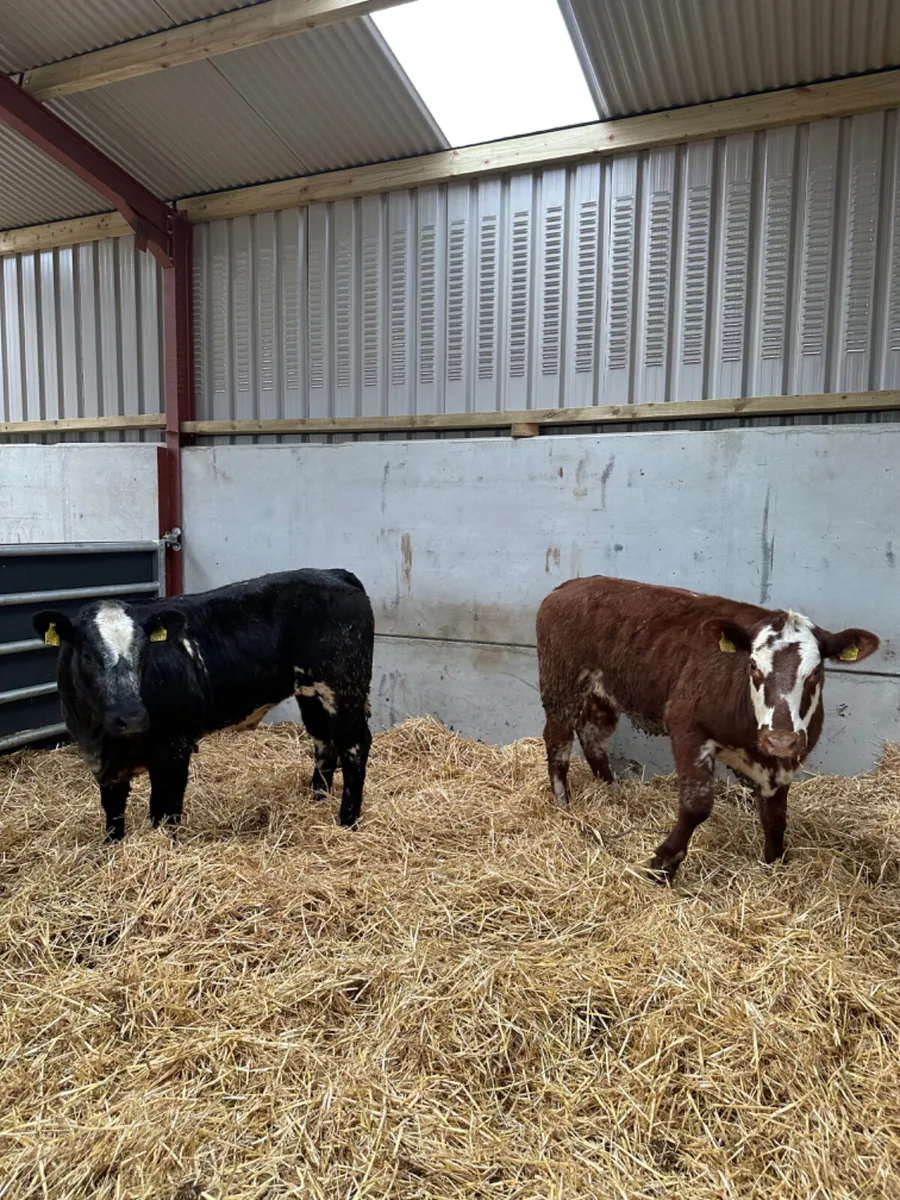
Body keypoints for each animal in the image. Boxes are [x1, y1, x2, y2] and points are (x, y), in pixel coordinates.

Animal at [33, 569, 375, 841]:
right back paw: (316, 799)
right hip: (311, 693)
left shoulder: (174, 748)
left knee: (355, 746)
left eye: (144, 653)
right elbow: (113, 814)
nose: (131, 717)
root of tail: (333, 574)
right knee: (324, 743)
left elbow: (165, 811)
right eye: (88, 656)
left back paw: (347, 821)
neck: (102, 734)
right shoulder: (104, 764)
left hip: (344, 688)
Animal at [536, 576, 879, 881]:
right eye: (753, 666)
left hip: (603, 697)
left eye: (816, 672)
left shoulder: (782, 763)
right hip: (561, 685)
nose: (780, 739)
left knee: (592, 737)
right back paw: (563, 802)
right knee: (558, 741)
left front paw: (774, 863)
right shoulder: (687, 726)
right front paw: (662, 864)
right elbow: (696, 806)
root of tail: (571, 585)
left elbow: (776, 816)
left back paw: (612, 790)